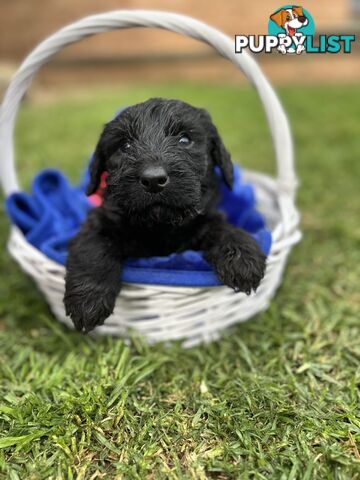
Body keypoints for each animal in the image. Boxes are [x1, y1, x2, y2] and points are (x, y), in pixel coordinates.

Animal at [64, 97, 266, 330]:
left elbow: (221, 227)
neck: (159, 226)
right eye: (125, 145)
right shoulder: (100, 220)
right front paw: (88, 300)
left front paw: (242, 256)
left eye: (184, 139)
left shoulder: (202, 220)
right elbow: (93, 247)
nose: (153, 179)